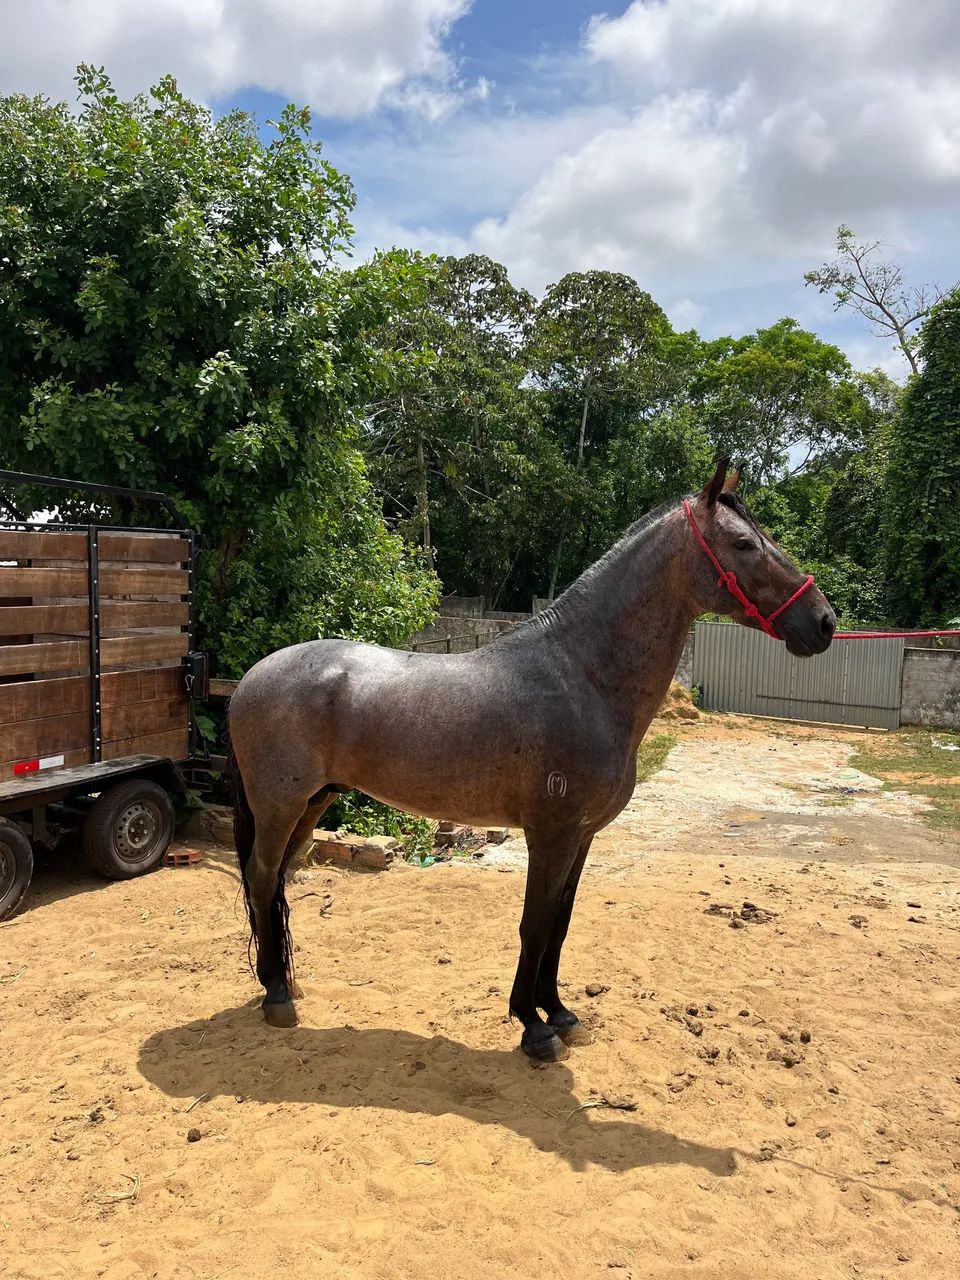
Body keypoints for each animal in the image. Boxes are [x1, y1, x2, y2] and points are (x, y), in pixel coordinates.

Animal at [228, 460, 835, 1061]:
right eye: (743, 544)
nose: (824, 621)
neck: (582, 677)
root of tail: (249, 680)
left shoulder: (582, 836)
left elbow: (560, 925)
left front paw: (560, 1012)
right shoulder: (551, 832)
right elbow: (535, 925)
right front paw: (532, 1024)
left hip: (311, 805)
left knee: (277, 879)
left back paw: (283, 983)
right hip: (280, 806)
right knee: (260, 876)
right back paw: (277, 996)